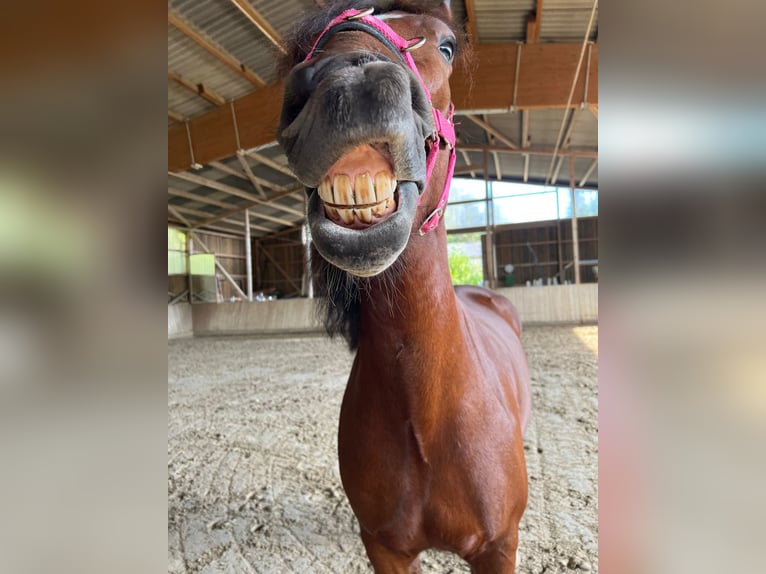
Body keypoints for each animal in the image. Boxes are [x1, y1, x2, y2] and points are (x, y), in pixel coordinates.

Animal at [277, 2, 531, 572]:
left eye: (446, 46)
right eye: (305, 48)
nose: (346, 87)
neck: (425, 416)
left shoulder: (499, 547)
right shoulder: (385, 548)